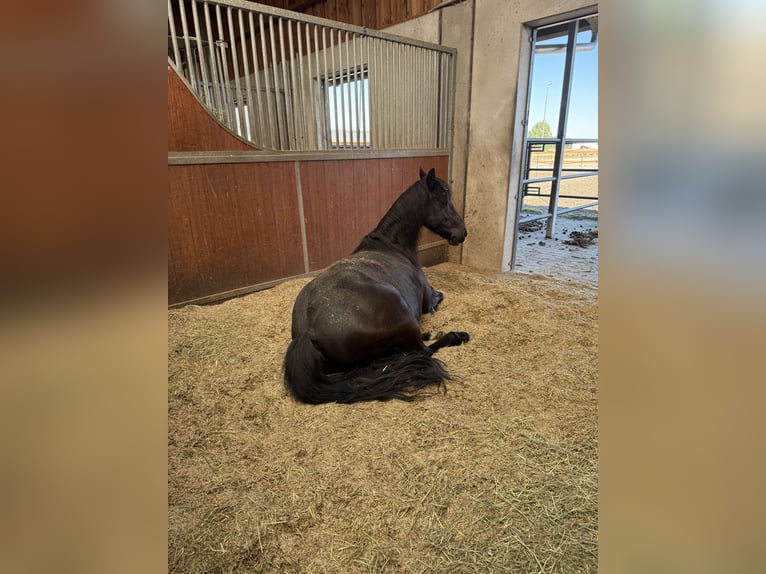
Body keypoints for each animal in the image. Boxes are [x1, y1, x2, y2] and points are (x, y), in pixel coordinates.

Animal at [283, 167, 470, 404]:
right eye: (443, 200)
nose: (462, 233)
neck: (392, 246)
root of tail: (307, 331)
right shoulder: (429, 299)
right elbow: (439, 297)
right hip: (405, 318)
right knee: (422, 351)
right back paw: (456, 336)